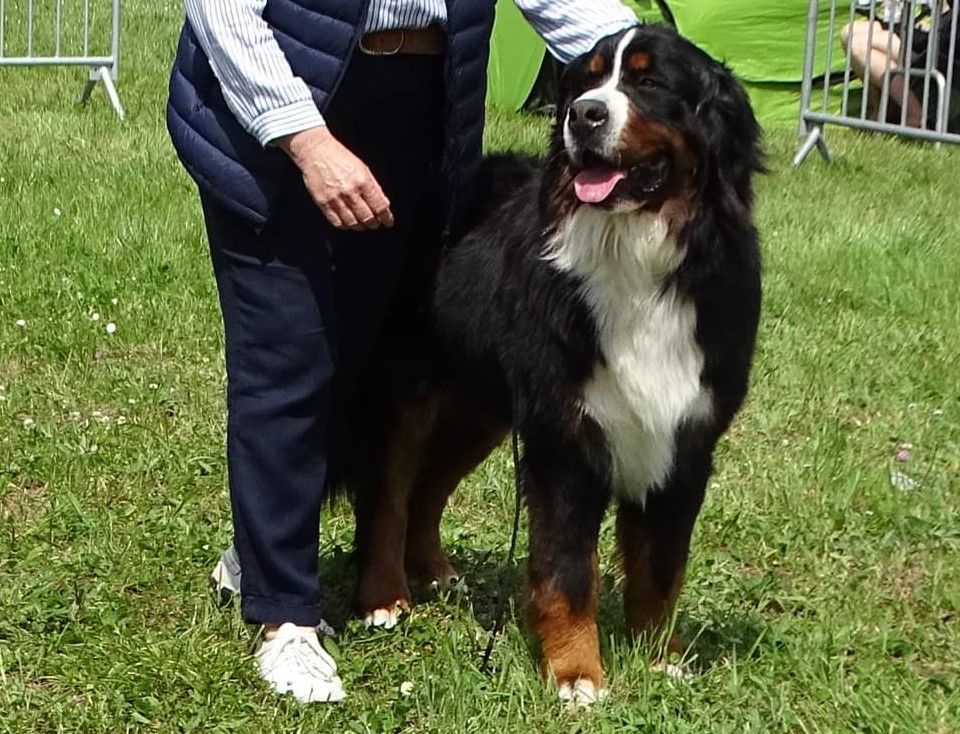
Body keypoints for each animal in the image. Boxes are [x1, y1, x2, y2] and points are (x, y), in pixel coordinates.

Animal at [348, 21, 760, 700]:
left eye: (649, 81)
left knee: (429, 487)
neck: (636, 258)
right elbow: (568, 571)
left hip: (484, 408)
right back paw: (385, 596)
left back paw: (435, 572)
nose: (583, 115)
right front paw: (576, 675)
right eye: (586, 81)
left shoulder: (684, 436)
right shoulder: (567, 438)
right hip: (410, 390)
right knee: (389, 492)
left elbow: (661, 565)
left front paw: (658, 657)